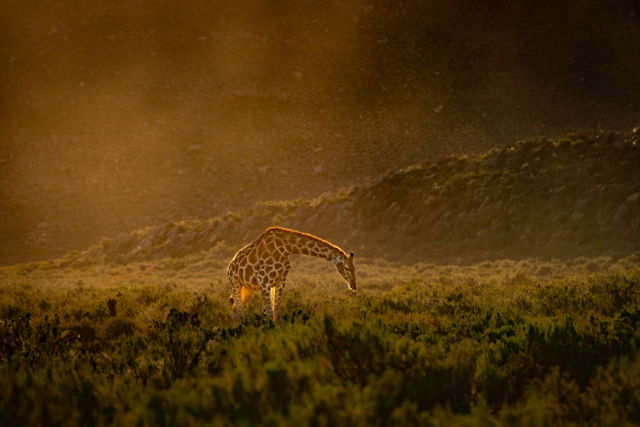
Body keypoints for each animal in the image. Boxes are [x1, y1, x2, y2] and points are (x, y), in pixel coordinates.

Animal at [227, 226, 356, 322]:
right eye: (347, 267)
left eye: (354, 268)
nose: (354, 286)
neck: (286, 249)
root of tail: (230, 265)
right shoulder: (264, 282)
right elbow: (269, 314)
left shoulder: (280, 281)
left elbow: (276, 312)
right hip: (234, 284)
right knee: (238, 310)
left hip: (248, 288)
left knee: (234, 309)